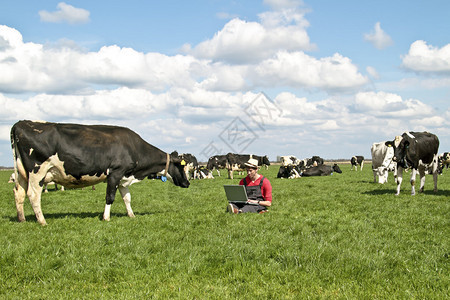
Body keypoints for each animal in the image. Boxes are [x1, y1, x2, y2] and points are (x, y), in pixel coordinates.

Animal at [10, 120, 190, 225]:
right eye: (182, 167)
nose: (188, 183)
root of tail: (21, 123)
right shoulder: (115, 173)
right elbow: (110, 197)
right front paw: (106, 217)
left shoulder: (124, 177)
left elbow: (127, 198)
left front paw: (131, 215)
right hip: (37, 172)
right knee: (33, 195)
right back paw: (42, 221)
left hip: (22, 173)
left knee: (19, 193)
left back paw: (22, 219)